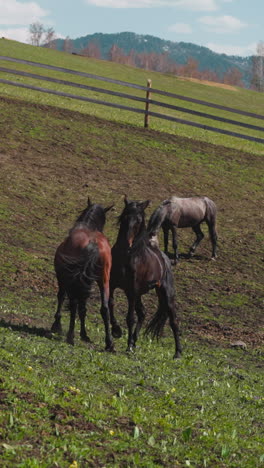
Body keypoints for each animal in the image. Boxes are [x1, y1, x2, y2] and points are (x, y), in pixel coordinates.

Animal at [50, 197, 114, 352]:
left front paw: (57, 325)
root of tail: (93, 243)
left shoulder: (63, 278)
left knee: (73, 304)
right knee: (104, 308)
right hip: (103, 281)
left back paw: (70, 336)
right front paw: (84, 335)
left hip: (74, 280)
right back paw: (109, 343)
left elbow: (61, 297)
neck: (88, 227)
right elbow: (83, 308)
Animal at [109, 196, 182, 360]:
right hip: (138, 294)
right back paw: (134, 341)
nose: (126, 244)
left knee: (173, 320)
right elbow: (110, 305)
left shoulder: (132, 290)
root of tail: (165, 259)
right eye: (125, 217)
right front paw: (116, 331)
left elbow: (130, 318)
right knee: (142, 313)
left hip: (165, 294)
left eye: (138, 220)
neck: (127, 256)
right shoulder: (112, 285)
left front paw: (128, 346)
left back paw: (178, 353)